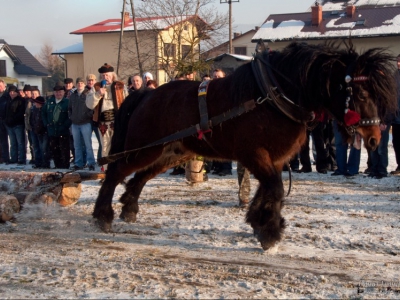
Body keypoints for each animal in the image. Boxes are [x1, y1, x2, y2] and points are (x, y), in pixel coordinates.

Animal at [92, 40, 396, 251]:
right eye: (361, 93)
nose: (374, 137)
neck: (272, 95)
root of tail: (145, 94)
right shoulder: (254, 154)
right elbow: (275, 189)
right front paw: (270, 232)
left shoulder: (272, 159)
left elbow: (269, 190)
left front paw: (259, 222)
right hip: (145, 149)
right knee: (116, 172)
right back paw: (103, 215)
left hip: (170, 153)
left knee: (139, 177)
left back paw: (129, 208)